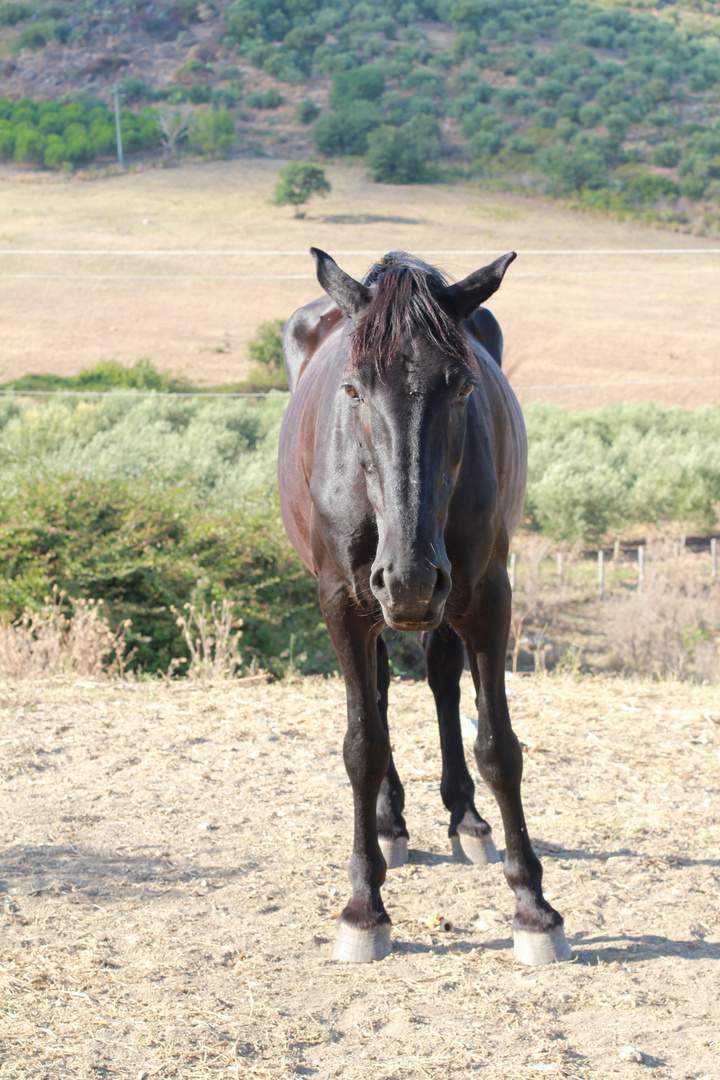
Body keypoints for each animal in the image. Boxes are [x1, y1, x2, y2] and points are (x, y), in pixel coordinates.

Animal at [278, 248, 569, 967]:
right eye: (353, 389)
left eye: (462, 387)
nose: (410, 578)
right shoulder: (343, 602)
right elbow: (362, 745)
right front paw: (363, 905)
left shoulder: (487, 597)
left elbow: (498, 746)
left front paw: (533, 906)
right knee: (381, 691)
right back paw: (388, 822)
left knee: (440, 679)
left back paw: (464, 817)